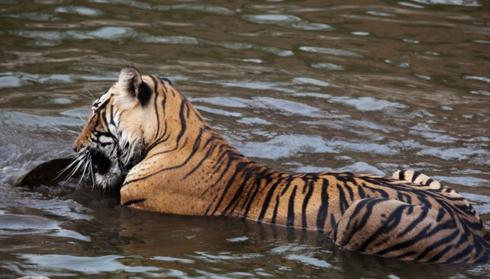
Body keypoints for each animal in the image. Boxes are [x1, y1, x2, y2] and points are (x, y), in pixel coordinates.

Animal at [72, 66, 490, 264]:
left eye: (94, 114)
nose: (74, 146)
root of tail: (477, 235)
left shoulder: (135, 204)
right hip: (407, 172)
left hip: (362, 212)